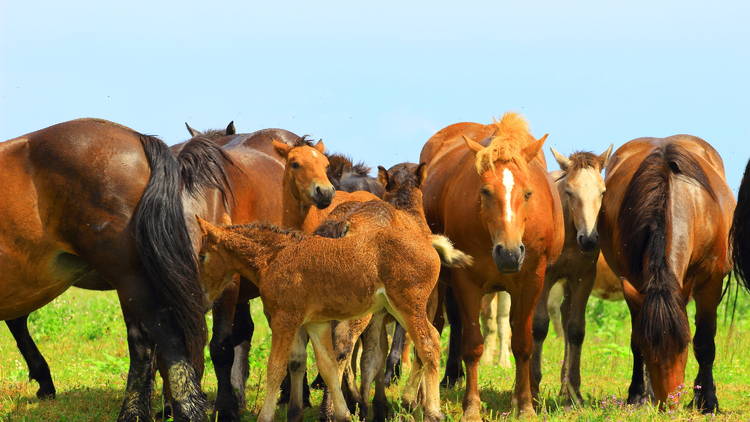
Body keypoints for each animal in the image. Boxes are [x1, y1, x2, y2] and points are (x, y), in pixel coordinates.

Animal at [197, 170, 450, 420]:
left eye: (201, 256)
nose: (203, 297)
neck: (275, 256)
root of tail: (429, 245)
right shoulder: (315, 323)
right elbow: (327, 366)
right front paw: (343, 413)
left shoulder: (284, 320)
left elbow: (276, 368)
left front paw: (266, 417)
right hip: (396, 309)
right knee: (428, 340)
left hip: (407, 306)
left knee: (427, 345)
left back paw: (430, 410)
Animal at [424, 113, 564, 418]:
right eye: (485, 191)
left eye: (527, 193)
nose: (509, 253)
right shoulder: (466, 281)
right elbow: (472, 344)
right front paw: (472, 407)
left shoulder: (531, 281)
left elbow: (522, 343)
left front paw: (525, 405)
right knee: (440, 325)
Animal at [600, 136, 736, 412]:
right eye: (651, 346)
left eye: (683, 345)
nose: (670, 403)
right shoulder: (633, 282)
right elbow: (635, 340)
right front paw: (637, 395)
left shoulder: (711, 282)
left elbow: (704, 342)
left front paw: (708, 401)